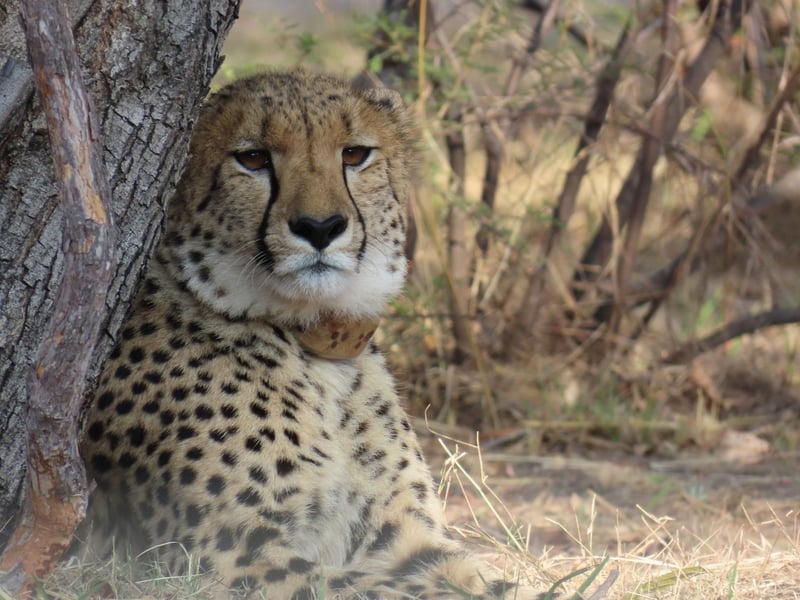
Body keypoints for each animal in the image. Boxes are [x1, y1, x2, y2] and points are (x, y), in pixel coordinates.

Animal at [80, 69, 544, 599]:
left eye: (354, 154)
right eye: (253, 158)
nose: (320, 227)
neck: (318, 348)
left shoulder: (405, 536)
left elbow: (492, 583)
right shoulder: (225, 557)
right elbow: (386, 591)